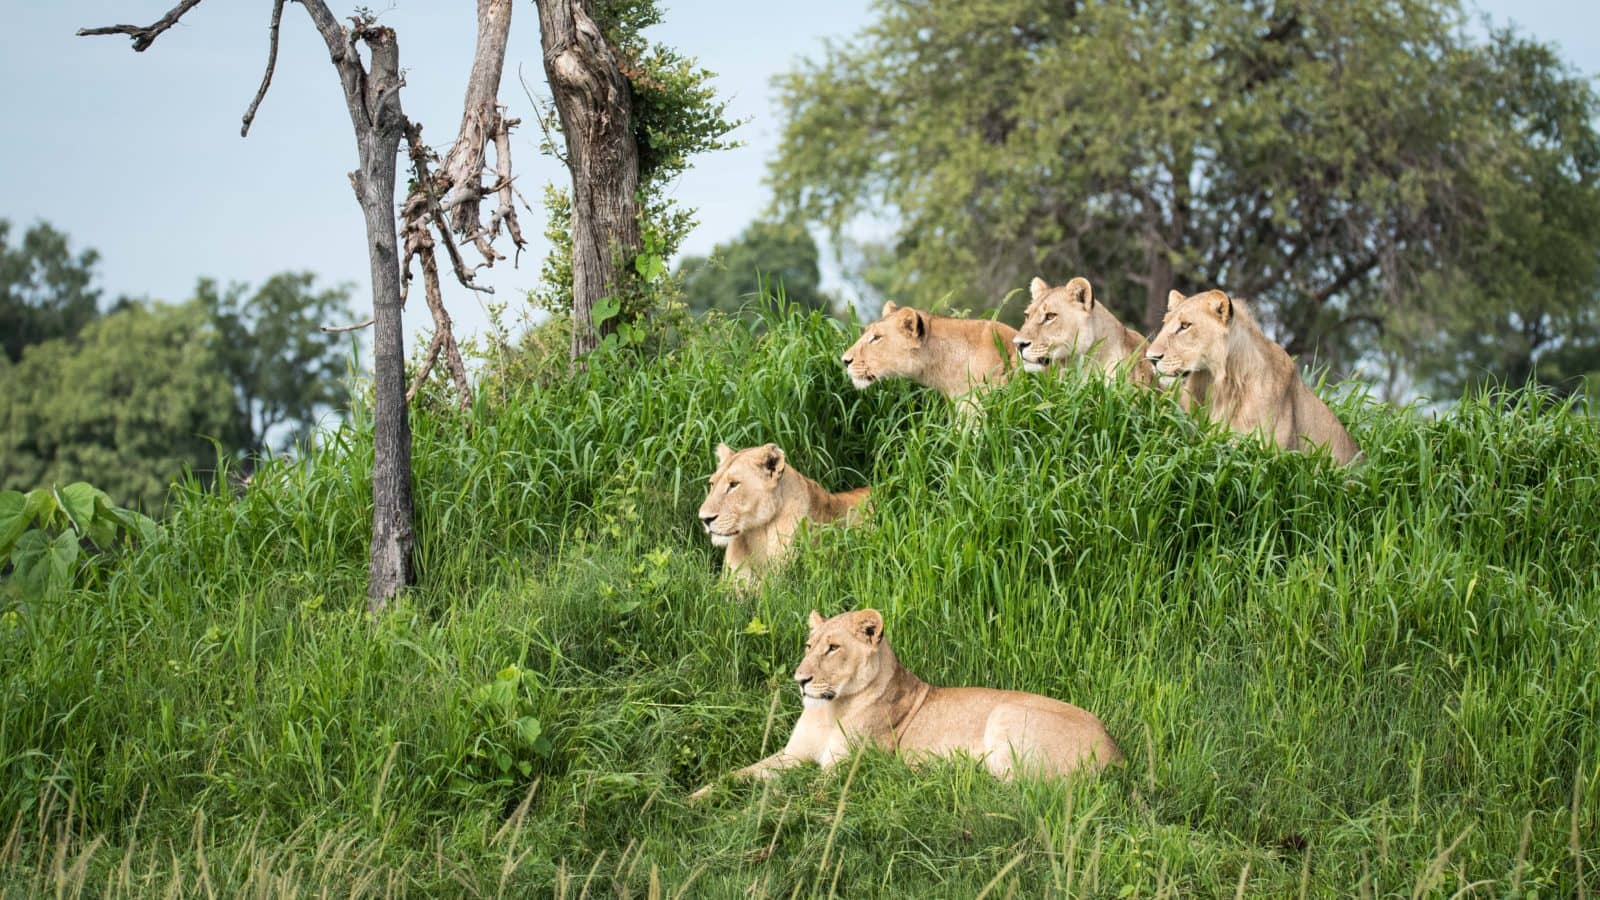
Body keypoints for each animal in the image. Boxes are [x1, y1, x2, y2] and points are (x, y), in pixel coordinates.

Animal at [691, 608, 1121, 798]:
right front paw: (694, 799)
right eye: (809, 646)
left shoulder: (839, 770)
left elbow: (797, 793)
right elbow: (739, 774)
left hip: (1006, 714)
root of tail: (1117, 754)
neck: (831, 708)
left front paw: (751, 809)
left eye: (833, 648)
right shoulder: (791, 755)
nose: (801, 680)